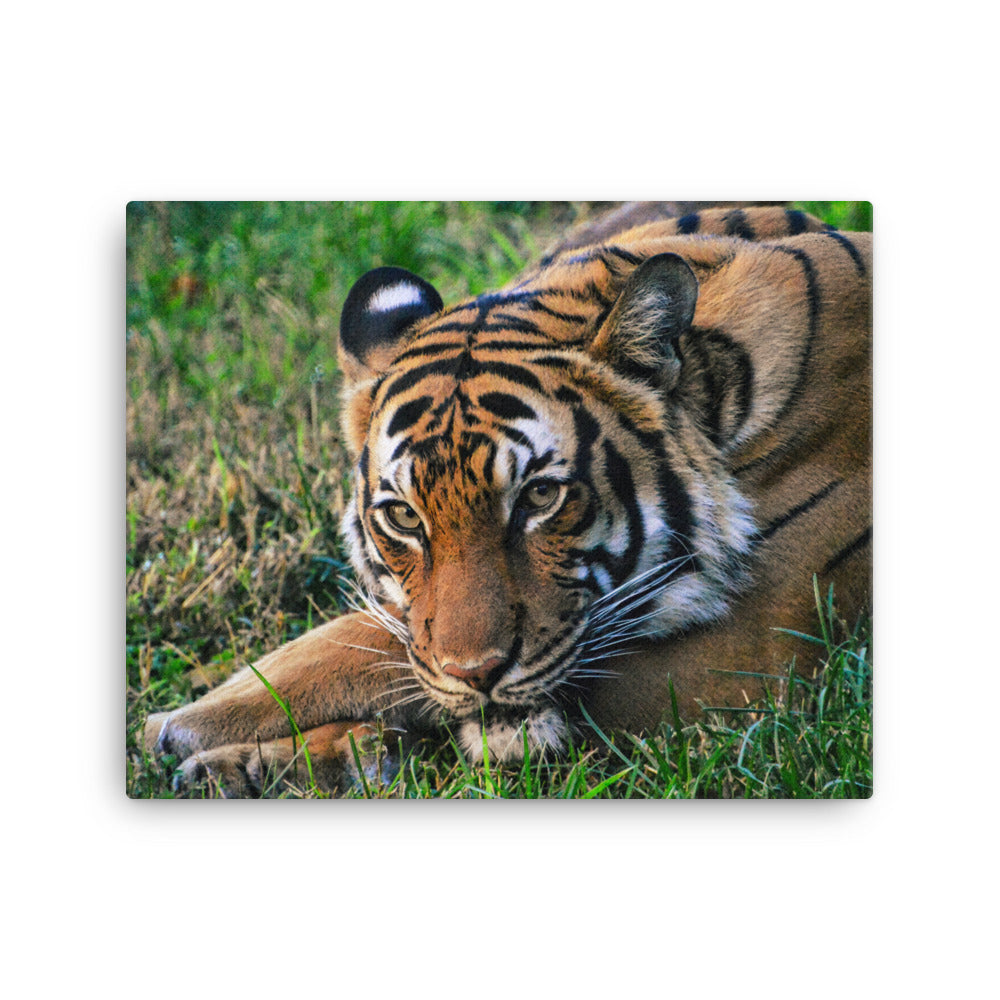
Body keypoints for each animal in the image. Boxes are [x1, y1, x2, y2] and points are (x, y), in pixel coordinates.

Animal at [144, 204, 872, 796]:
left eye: (540, 496)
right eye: (403, 515)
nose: (477, 674)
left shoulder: (754, 657)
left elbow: (381, 651)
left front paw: (210, 738)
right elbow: (383, 646)